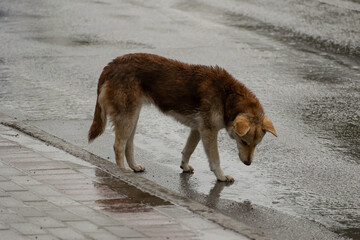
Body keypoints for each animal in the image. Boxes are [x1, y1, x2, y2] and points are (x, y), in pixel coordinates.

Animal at [88, 53, 278, 182]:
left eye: (256, 144)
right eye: (244, 142)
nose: (248, 164)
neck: (228, 96)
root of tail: (112, 64)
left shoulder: (198, 130)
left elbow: (188, 150)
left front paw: (184, 166)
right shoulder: (209, 132)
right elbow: (215, 159)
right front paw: (221, 176)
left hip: (132, 117)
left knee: (128, 146)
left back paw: (134, 166)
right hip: (128, 117)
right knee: (118, 146)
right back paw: (122, 170)